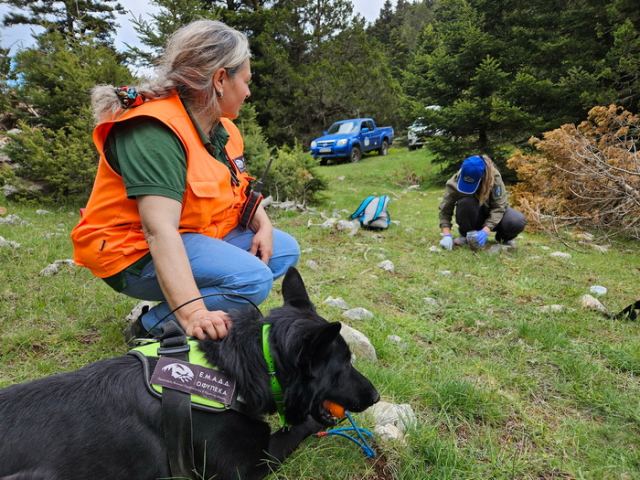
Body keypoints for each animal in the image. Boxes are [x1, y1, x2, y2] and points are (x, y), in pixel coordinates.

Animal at [0, 268, 378, 478]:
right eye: (344, 364)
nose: (376, 396)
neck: (244, 365)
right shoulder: (245, 468)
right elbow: (294, 429)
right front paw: (310, 423)